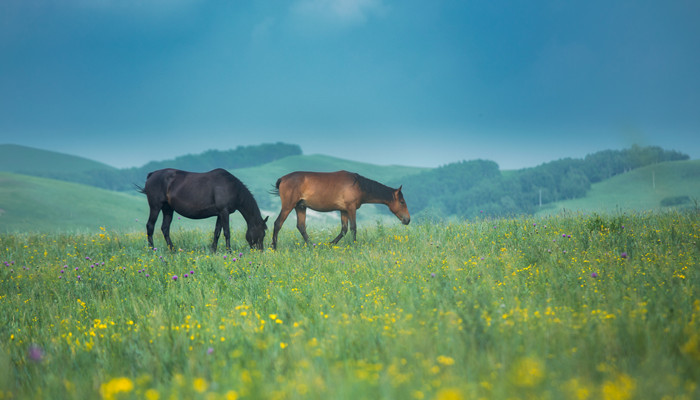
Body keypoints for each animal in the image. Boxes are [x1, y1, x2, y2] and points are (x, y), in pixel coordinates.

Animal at [139, 168, 268, 250]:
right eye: (262, 234)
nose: (260, 251)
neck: (232, 187)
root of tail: (152, 174)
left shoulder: (220, 214)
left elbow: (217, 232)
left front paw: (213, 251)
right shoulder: (224, 212)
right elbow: (227, 233)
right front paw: (229, 252)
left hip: (168, 209)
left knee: (165, 228)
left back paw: (173, 250)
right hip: (155, 207)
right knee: (150, 226)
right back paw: (152, 250)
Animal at [270, 170, 410, 248]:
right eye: (402, 202)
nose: (407, 220)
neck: (358, 185)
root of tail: (283, 179)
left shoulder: (343, 210)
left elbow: (344, 230)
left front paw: (330, 244)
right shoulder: (351, 209)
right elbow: (353, 228)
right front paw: (354, 245)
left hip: (300, 207)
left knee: (301, 227)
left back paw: (312, 246)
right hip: (288, 206)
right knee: (278, 224)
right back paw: (274, 247)